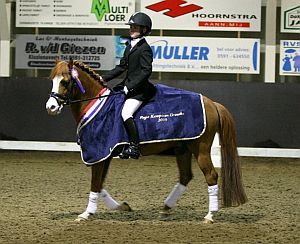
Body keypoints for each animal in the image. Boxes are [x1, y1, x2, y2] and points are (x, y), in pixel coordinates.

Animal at [45, 60, 246, 223]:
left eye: (65, 81)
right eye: (52, 80)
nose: (51, 107)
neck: (97, 105)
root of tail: (211, 103)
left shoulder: (99, 154)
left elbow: (95, 185)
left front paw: (86, 214)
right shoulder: (106, 155)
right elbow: (100, 185)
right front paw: (122, 207)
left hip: (200, 149)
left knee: (211, 176)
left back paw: (210, 215)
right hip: (182, 148)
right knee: (185, 176)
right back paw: (166, 208)